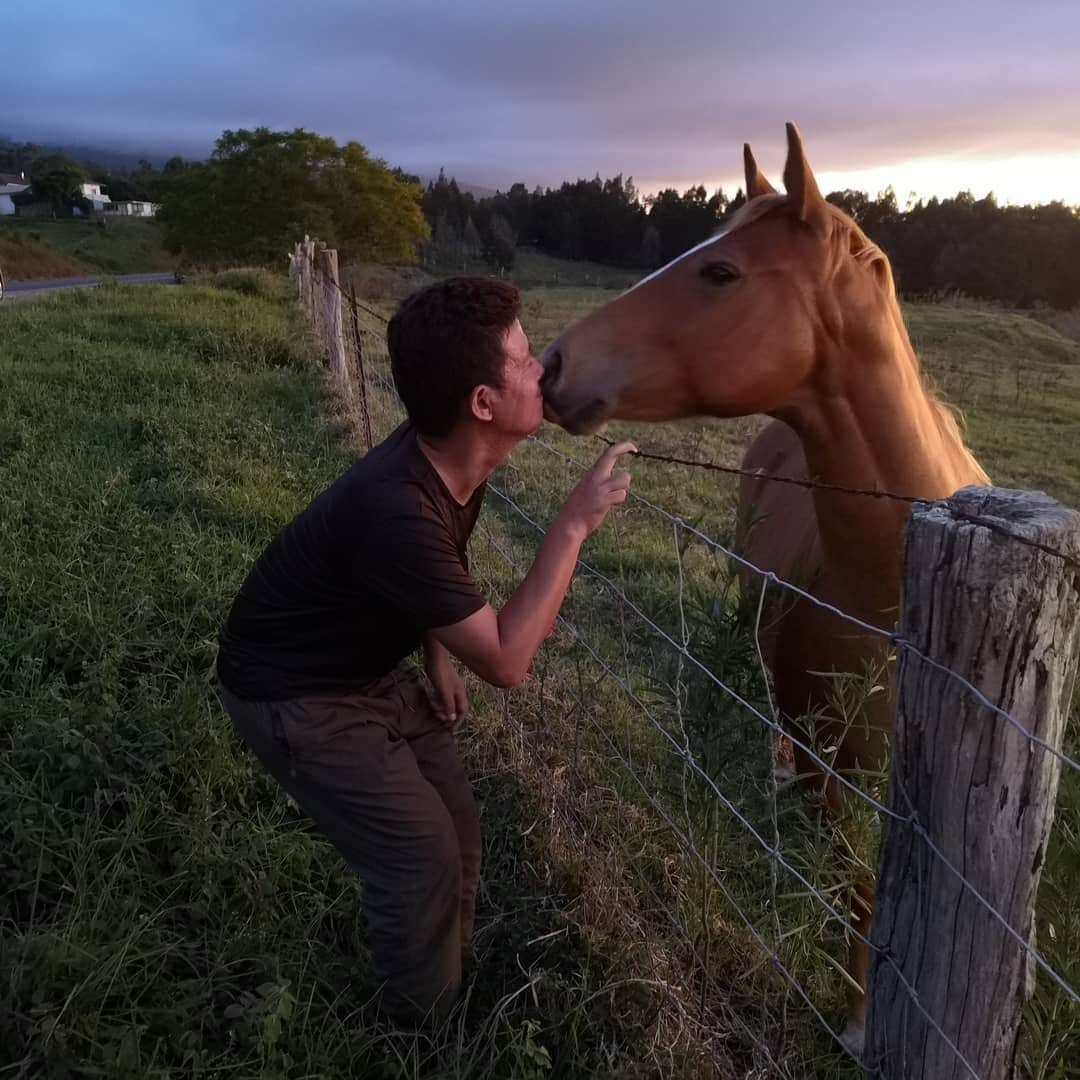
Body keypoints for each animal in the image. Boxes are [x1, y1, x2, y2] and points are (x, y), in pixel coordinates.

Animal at [544, 120, 989, 1054]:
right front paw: (855, 1010)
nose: (552, 364)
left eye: (721, 272)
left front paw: (861, 1019)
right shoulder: (837, 762)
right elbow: (855, 884)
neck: (894, 588)